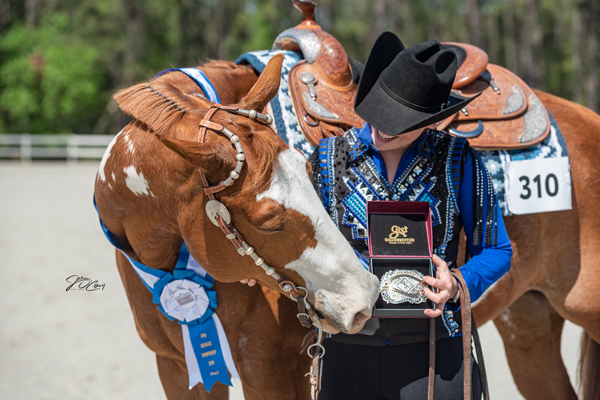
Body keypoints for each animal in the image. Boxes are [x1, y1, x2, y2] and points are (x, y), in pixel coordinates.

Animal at [95, 54, 380, 400]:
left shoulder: (270, 370)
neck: (166, 263)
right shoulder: (177, 367)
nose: (363, 299)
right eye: (268, 224)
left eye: (309, 170)